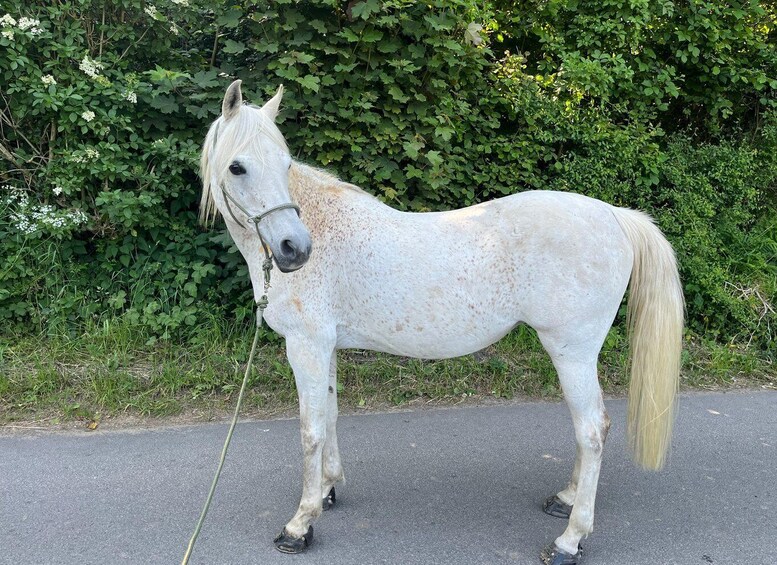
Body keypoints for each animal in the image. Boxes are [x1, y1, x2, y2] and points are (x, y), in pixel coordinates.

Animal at [199, 80, 684, 565]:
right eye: (237, 167)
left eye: (284, 163)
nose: (294, 249)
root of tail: (615, 216)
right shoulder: (326, 347)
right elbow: (331, 416)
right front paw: (328, 488)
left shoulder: (306, 346)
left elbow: (311, 430)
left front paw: (301, 524)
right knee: (590, 430)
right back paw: (564, 500)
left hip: (572, 353)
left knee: (592, 430)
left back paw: (570, 539)